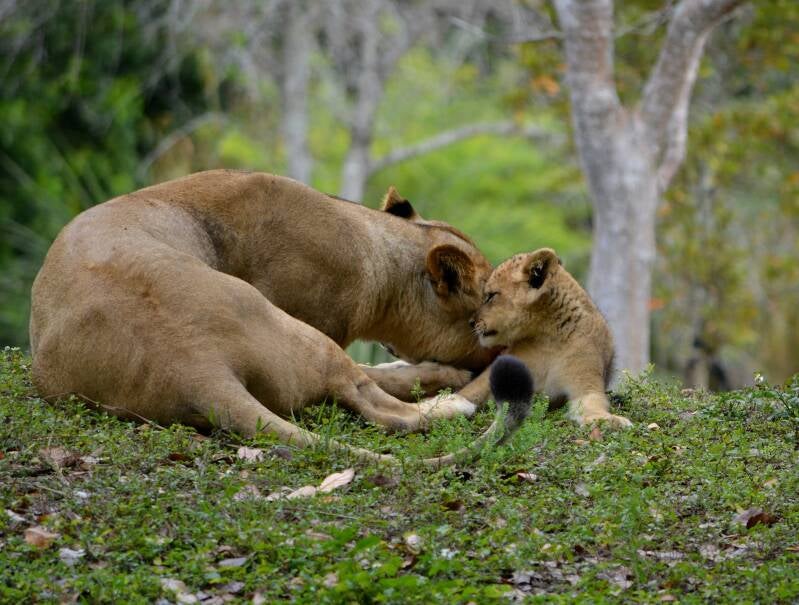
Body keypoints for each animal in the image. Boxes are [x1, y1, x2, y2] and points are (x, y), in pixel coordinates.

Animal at [29, 170, 525, 464]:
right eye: (484, 324)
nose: (501, 348)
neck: (375, 250)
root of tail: (195, 366)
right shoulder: (320, 318)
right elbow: (379, 380)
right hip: (295, 329)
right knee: (385, 408)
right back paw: (455, 398)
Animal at [461, 248, 632, 428]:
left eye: (491, 295)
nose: (471, 322)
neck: (549, 338)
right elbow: (465, 395)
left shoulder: (584, 383)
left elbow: (592, 403)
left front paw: (608, 419)